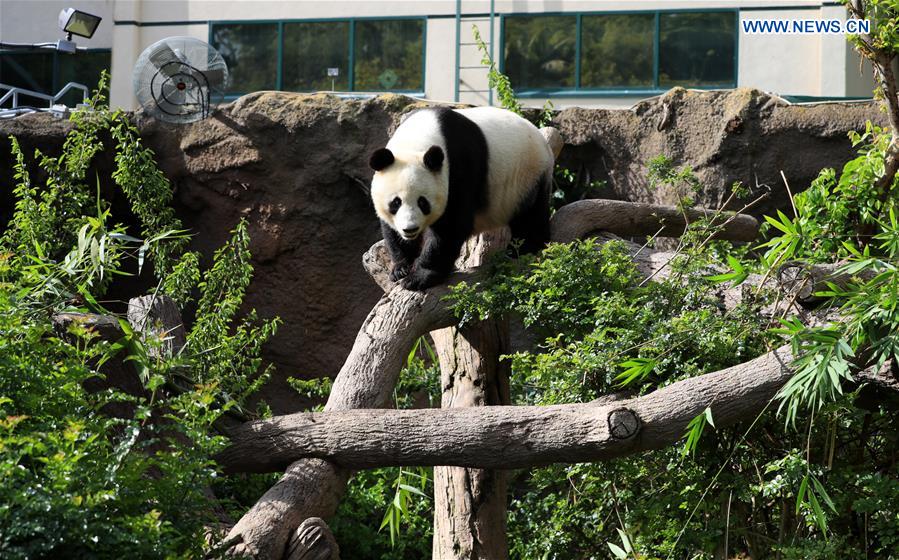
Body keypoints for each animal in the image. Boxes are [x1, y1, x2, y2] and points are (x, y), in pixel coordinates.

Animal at [368, 105, 552, 290]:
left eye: (422, 202)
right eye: (396, 203)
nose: (410, 229)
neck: (415, 141)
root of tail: (544, 143)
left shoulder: (459, 166)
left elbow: (452, 225)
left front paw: (419, 277)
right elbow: (391, 230)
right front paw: (400, 269)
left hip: (528, 176)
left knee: (531, 216)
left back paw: (524, 249)